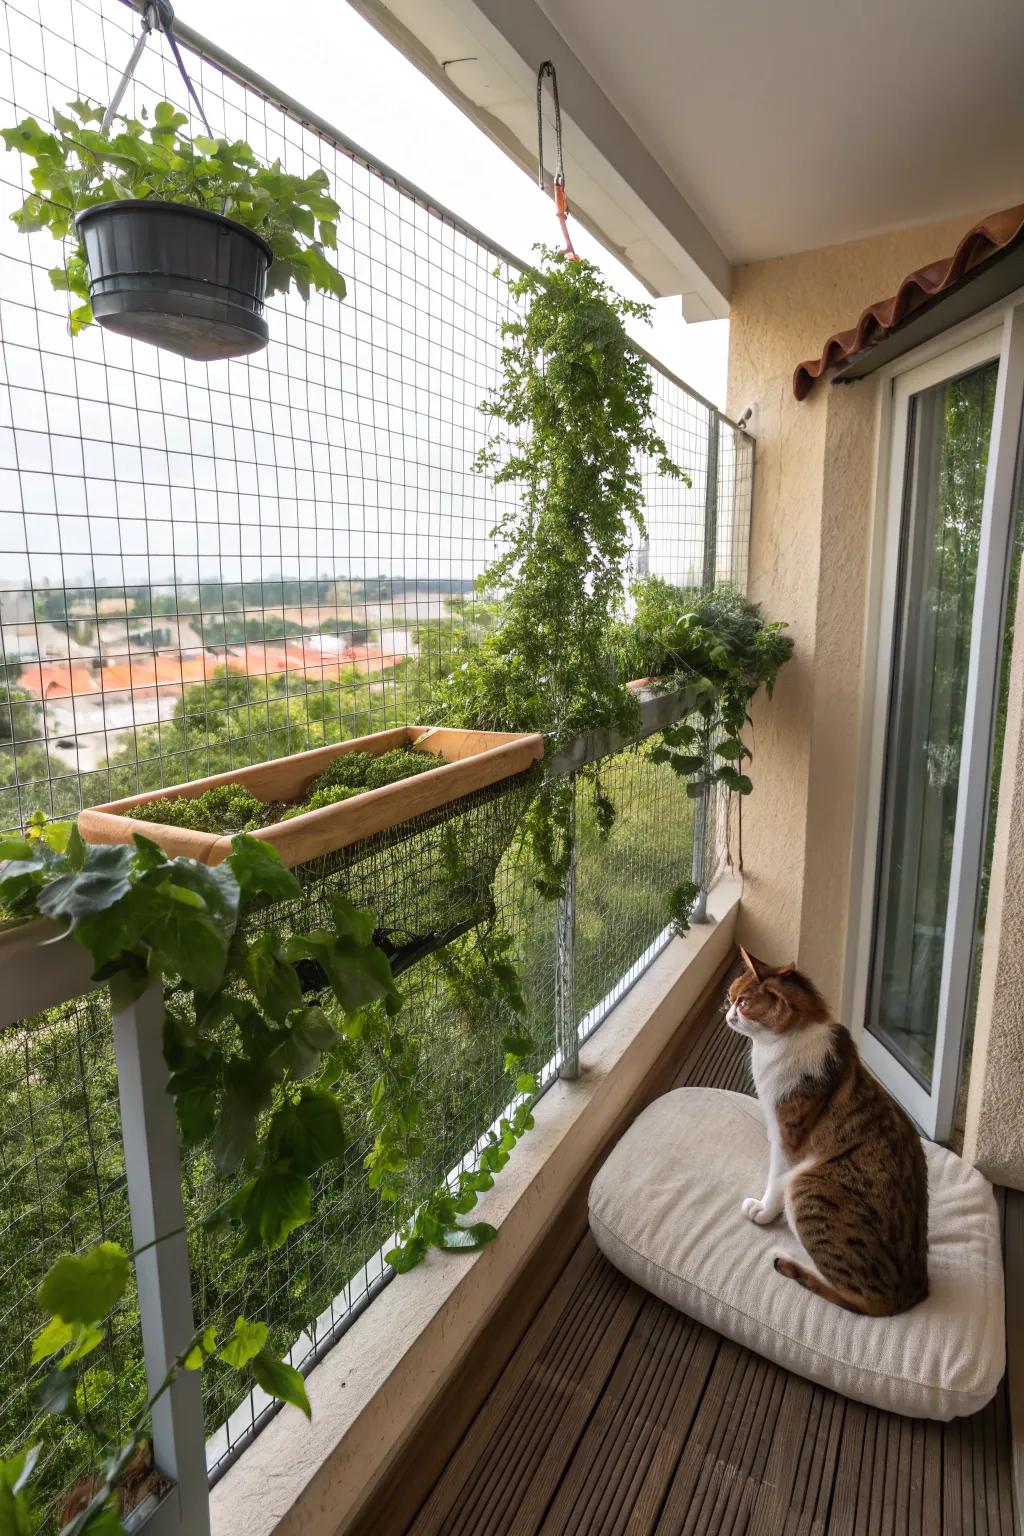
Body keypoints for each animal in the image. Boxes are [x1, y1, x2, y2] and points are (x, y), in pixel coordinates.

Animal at [727, 946, 927, 1320]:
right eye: (730, 997)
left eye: (743, 1002)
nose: (728, 1011)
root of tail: (909, 1297)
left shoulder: (787, 1139)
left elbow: (775, 1179)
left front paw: (762, 1211)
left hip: (807, 1187)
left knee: (860, 1300)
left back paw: (789, 1262)